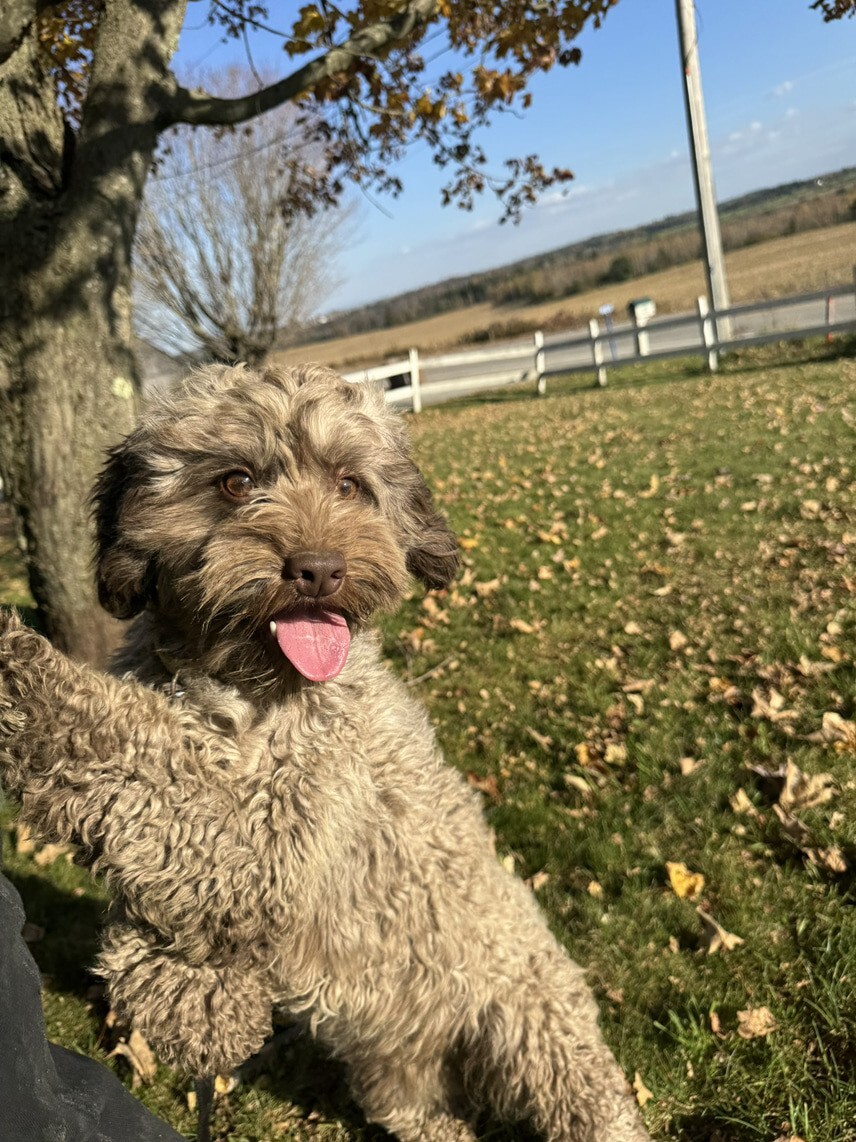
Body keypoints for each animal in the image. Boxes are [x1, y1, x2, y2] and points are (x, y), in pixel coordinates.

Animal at [0, 364, 649, 1141]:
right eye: (235, 482)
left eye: (349, 484)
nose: (317, 570)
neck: (246, 686)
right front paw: (186, 993)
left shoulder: (276, 835)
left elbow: (129, 745)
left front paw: (16, 662)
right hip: (396, 1075)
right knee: (426, 1115)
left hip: (535, 1029)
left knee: (592, 1102)